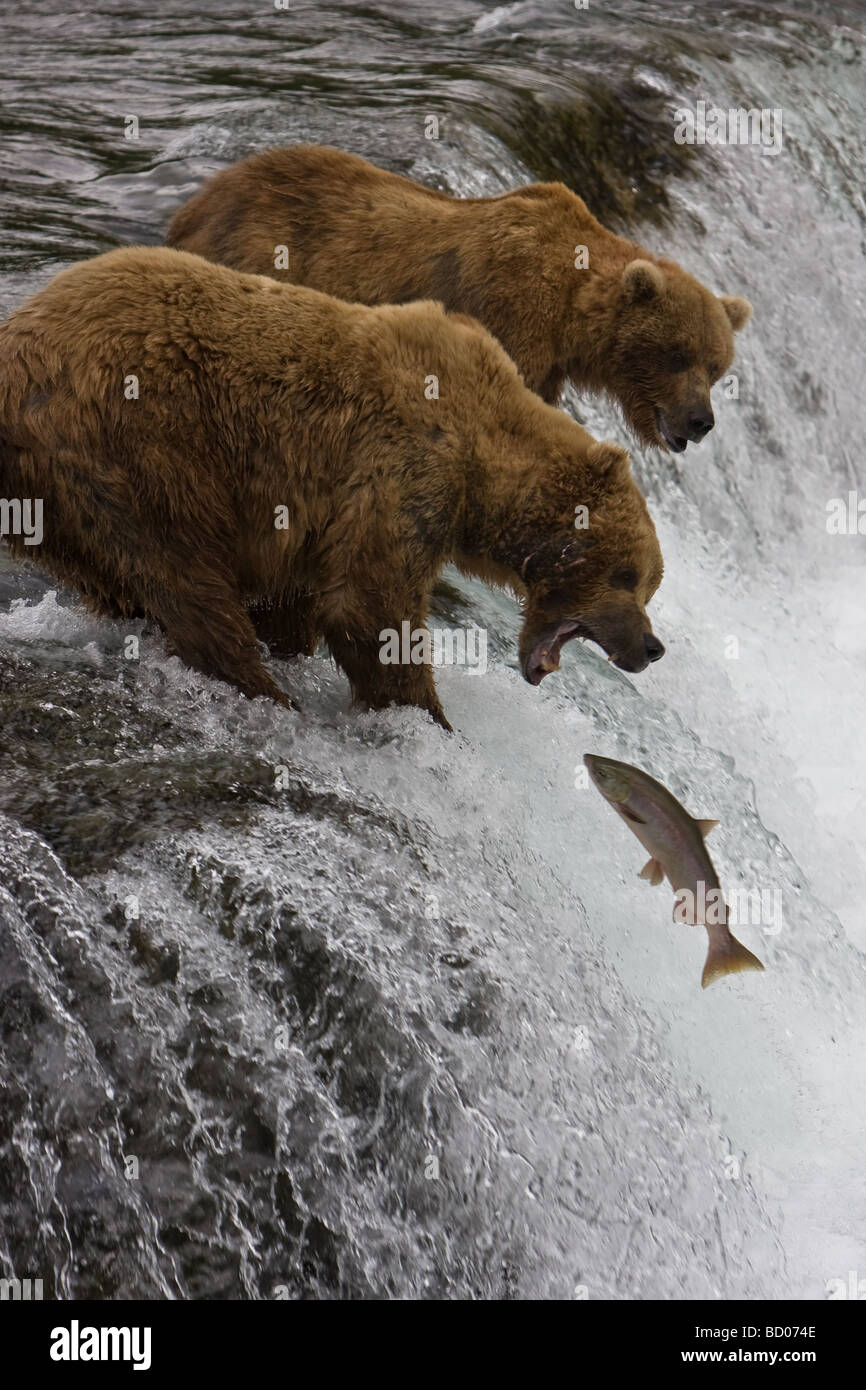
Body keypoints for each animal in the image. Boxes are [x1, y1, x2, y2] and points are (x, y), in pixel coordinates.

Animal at [0, 250, 667, 733]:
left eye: (649, 583)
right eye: (628, 576)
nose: (652, 646)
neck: (483, 464)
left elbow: (302, 602)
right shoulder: (404, 465)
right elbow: (371, 605)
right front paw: (428, 720)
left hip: (60, 504)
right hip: (135, 444)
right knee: (184, 573)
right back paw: (267, 694)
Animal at [167, 144, 750, 453]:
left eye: (716, 367)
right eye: (677, 355)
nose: (700, 421)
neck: (569, 316)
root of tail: (199, 201)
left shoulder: (549, 364)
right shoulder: (510, 314)